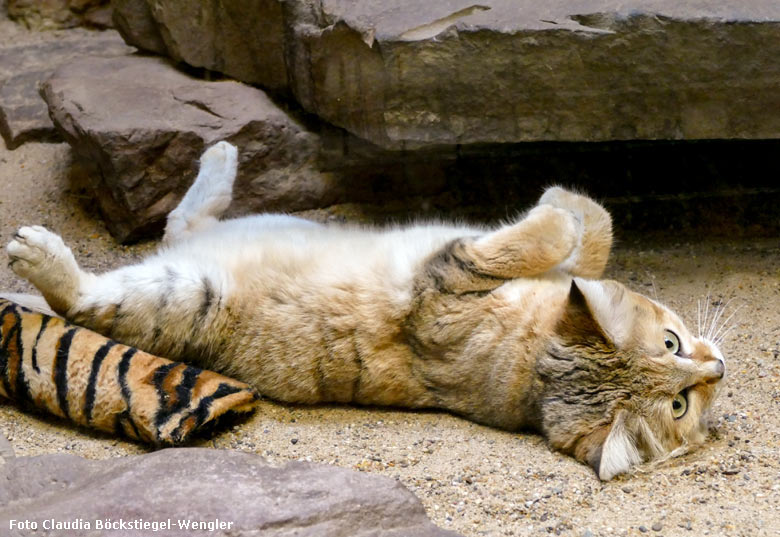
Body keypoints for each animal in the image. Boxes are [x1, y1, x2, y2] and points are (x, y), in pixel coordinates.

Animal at [6, 140, 724, 480]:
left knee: (100, 288)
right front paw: (562, 200)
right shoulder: (474, 273)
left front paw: (558, 207)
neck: (537, 356)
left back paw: (44, 253)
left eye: (679, 406)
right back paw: (219, 158)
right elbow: (586, 232)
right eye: (669, 342)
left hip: (185, 294)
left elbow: (564, 235)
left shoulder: (447, 282)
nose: (717, 368)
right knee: (174, 229)